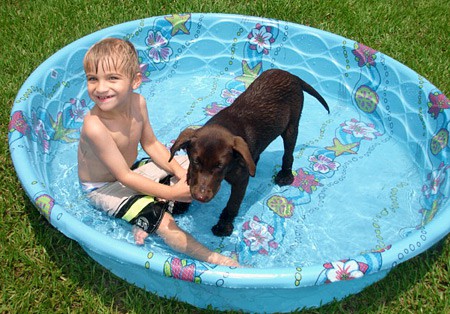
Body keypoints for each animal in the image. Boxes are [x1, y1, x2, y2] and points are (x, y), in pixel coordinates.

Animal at [171, 69, 328, 236]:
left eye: (220, 166)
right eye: (195, 161)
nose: (201, 197)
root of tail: (291, 75)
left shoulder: (240, 181)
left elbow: (232, 205)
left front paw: (223, 226)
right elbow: (190, 178)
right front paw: (181, 204)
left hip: (291, 126)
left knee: (288, 155)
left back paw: (285, 175)